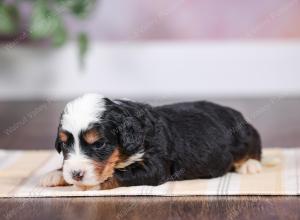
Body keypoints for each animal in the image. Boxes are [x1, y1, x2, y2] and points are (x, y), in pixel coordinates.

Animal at [40, 93, 262, 190]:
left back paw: (250, 165)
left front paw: (93, 184)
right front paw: (55, 174)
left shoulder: (156, 165)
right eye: (64, 144)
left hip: (243, 136)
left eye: (99, 144)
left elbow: (120, 174)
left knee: (254, 146)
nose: (76, 174)